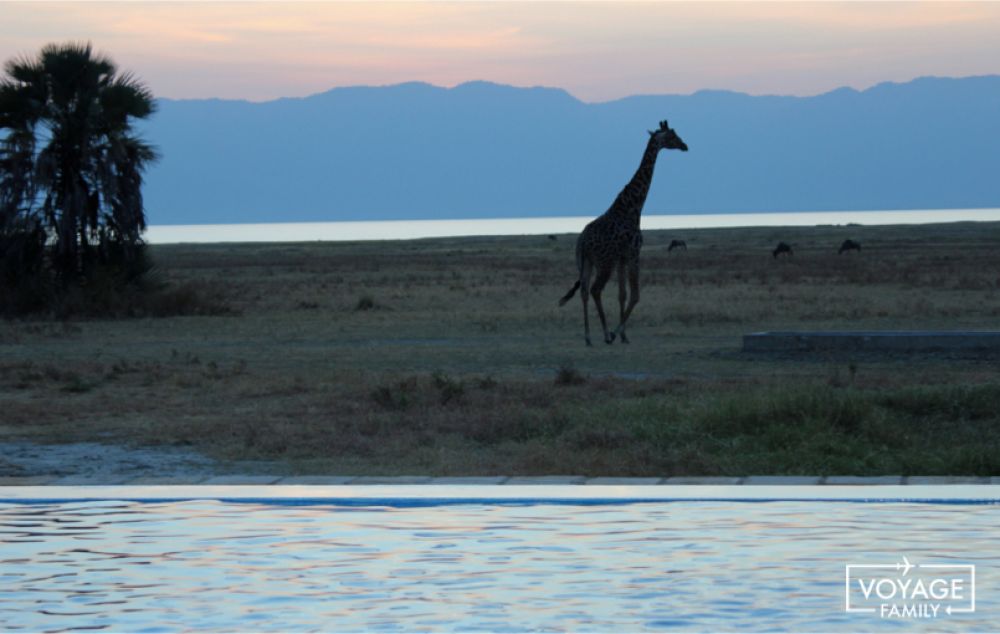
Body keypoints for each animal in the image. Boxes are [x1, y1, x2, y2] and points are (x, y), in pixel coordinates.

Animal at [556, 120, 688, 344]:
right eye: (672, 135)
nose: (685, 145)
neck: (634, 207)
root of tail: (582, 242)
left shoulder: (622, 258)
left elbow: (622, 294)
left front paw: (624, 335)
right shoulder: (633, 253)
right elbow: (635, 295)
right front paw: (617, 333)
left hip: (585, 262)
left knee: (584, 291)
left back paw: (588, 337)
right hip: (604, 262)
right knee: (595, 289)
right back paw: (606, 334)